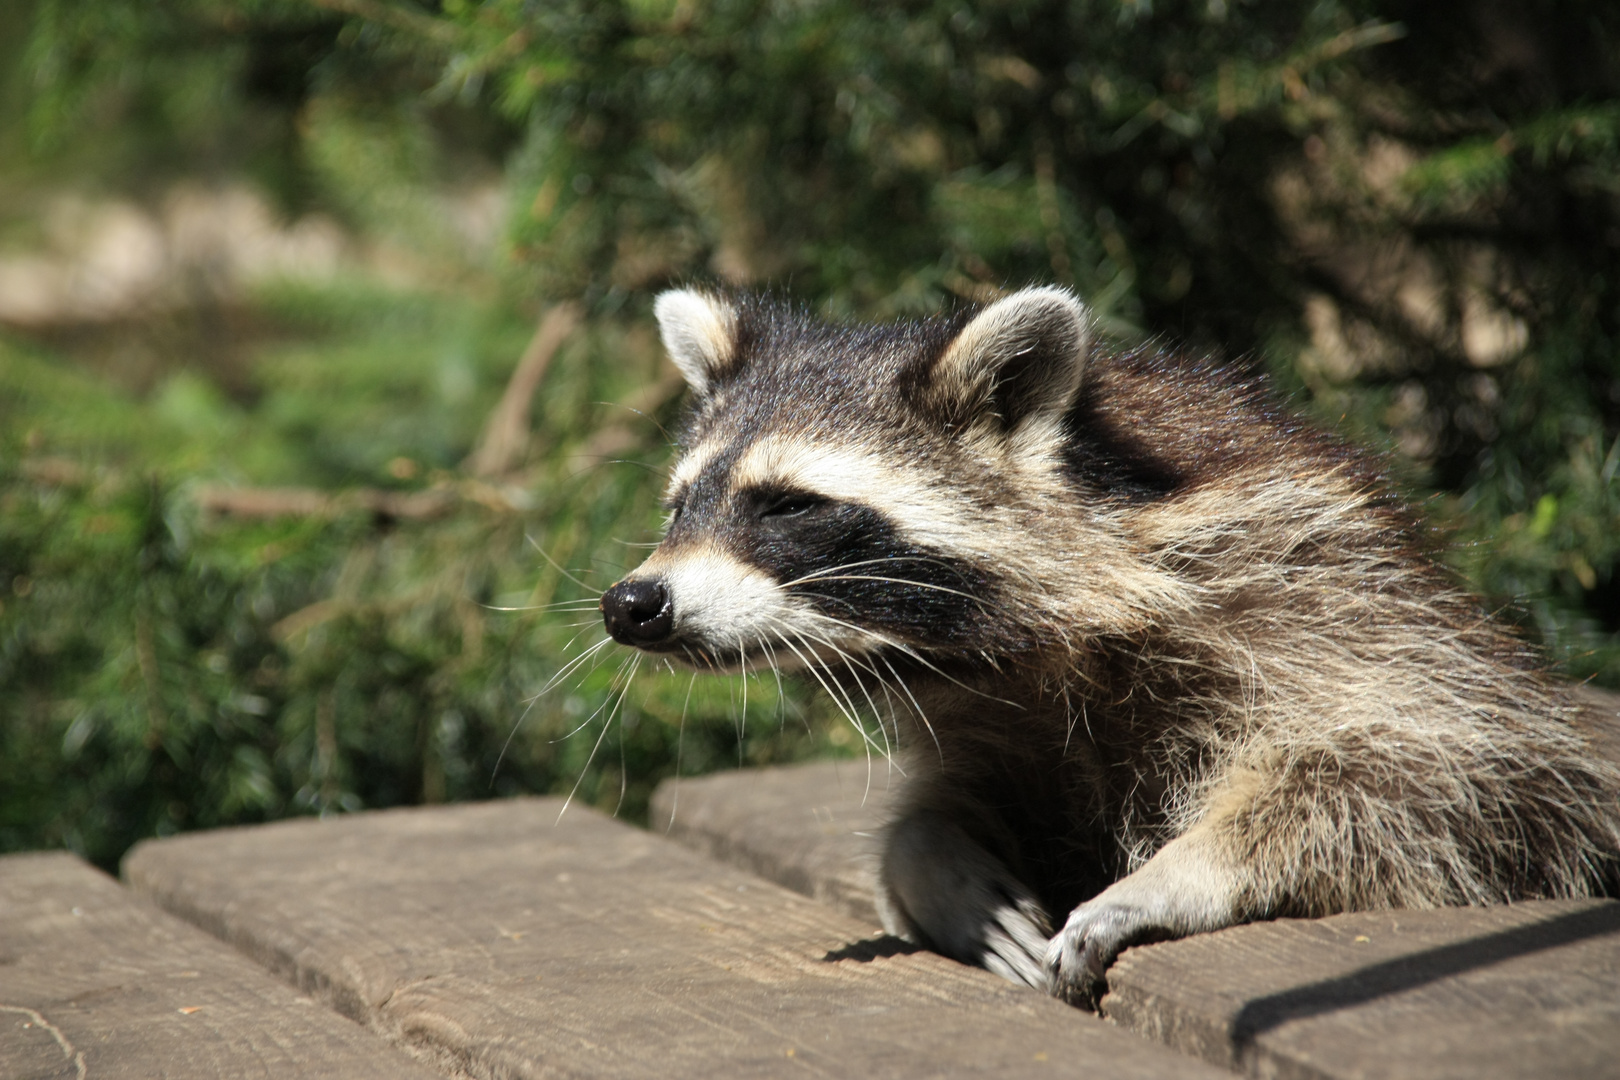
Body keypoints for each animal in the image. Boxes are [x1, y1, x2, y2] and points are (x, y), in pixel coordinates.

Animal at [596, 284, 1620, 1003]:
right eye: (680, 504)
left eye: (787, 506)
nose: (631, 603)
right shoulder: (997, 711)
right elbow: (949, 803)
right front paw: (933, 861)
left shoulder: (1329, 597)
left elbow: (1425, 776)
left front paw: (1182, 872)